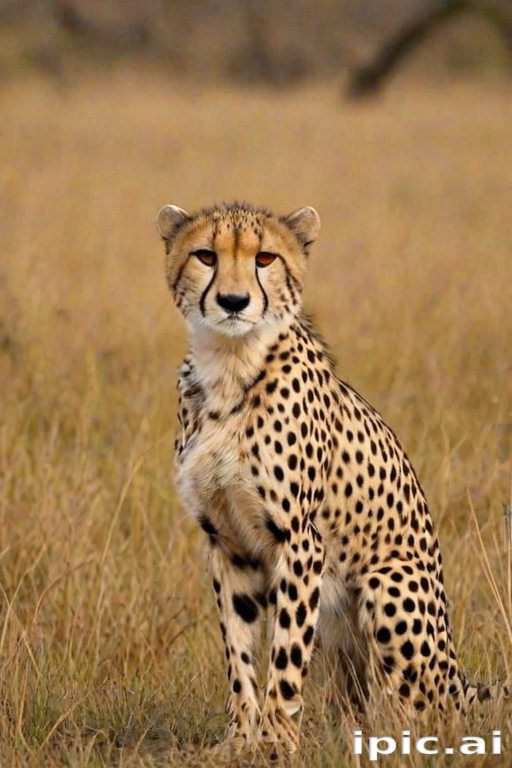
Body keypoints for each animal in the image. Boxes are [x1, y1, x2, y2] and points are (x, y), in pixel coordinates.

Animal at [155, 200, 505, 756]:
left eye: (265, 258)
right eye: (206, 256)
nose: (233, 301)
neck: (230, 365)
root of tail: (456, 672)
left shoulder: (300, 541)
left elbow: (285, 658)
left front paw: (276, 743)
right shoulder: (226, 543)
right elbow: (240, 653)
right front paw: (239, 740)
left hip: (390, 583)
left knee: (422, 713)